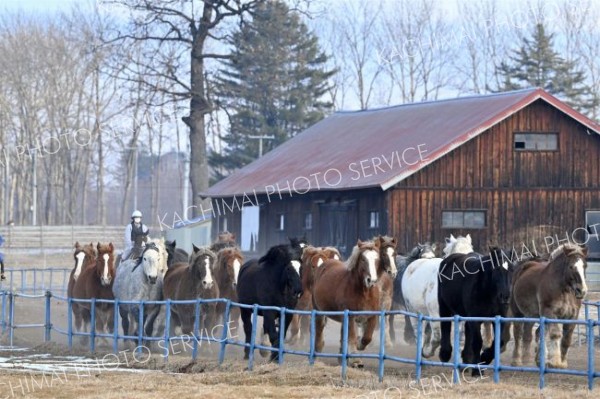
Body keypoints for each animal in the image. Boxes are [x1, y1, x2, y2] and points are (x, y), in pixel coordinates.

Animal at [312, 239, 382, 368]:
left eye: (377, 259)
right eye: (363, 259)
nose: (371, 281)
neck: (364, 292)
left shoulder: (372, 316)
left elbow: (367, 338)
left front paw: (359, 346)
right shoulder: (350, 317)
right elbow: (352, 337)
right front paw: (356, 360)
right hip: (319, 312)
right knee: (319, 332)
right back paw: (316, 354)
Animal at [436, 247, 516, 376]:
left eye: (512, 269)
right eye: (497, 269)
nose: (506, 296)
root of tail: (448, 259)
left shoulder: (499, 318)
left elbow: (500, 341)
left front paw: (484, 359)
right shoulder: (475, 318)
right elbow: (477, 342)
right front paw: (477, 369)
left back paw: (466, 360)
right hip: (444, 306)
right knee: (445, 325)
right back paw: (445, 354)